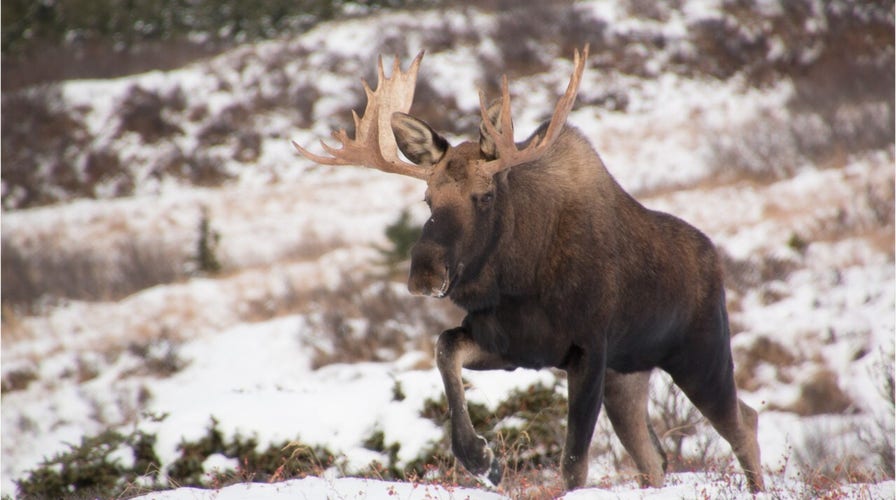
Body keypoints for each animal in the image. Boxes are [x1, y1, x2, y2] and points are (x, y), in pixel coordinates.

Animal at [294, 48, 764, 494]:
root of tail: (715, 258)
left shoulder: (589, 349)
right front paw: (483, 460)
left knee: (743, 424)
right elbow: (445, 349)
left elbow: (574, 464)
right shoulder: (512, 346)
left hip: (700, 355)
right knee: (656, 458)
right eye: (427, 198)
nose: (424, 272)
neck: (520, 279)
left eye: (484, 196)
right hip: (628, 376)